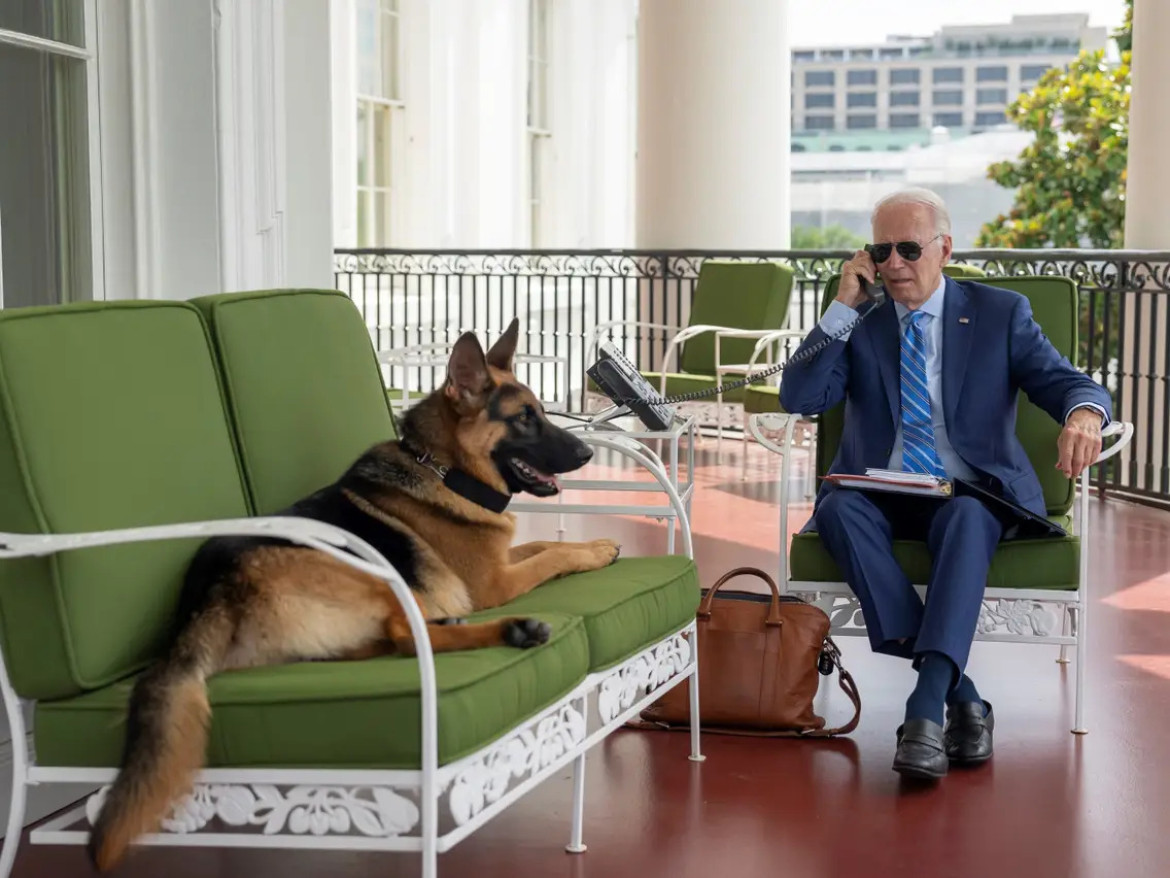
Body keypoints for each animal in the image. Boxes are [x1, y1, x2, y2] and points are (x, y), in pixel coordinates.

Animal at [88, 318, 622, 875]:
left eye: (540, 411)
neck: (444, 469)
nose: (587, 454)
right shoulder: (493, 584)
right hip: (373, 576)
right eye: (523, 419)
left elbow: (540, 544)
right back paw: (513, 629)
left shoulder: (499, 563)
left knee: (382, 641)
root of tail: (206, 595)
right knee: (401, 636)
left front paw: (590, 544)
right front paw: (594, 551)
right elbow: (548, 557)